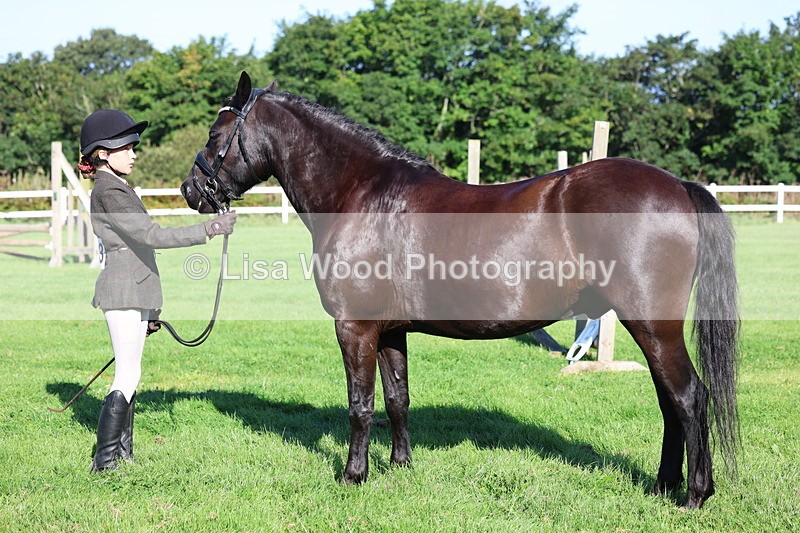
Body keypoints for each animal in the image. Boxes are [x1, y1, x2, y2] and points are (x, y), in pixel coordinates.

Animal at [181, 72, 739, 509]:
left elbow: (360, 404)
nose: (190, 191)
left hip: (653, 325)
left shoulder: (354, 328)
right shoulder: (390, 332)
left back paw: (694, 495)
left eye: (214, 134)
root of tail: (677, 187)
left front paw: (353, 476)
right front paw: (401, 467)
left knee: (688, 396)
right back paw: (664, 487)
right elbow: (397, 398)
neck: (362, 197)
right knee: (669, 400)